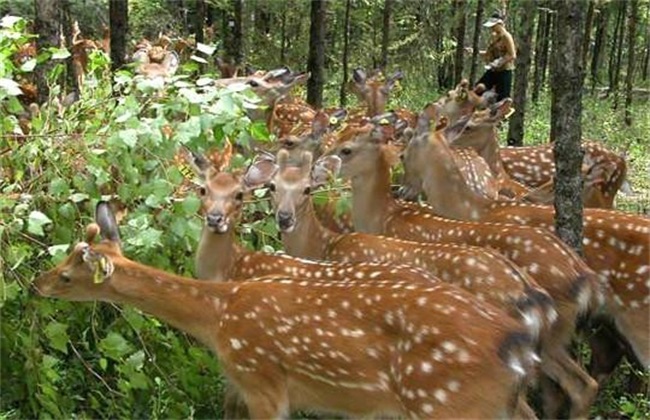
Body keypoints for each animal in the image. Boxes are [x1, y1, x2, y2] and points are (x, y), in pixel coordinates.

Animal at [33, 202, 536, 418]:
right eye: (63, 261)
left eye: (67, 276)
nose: (39, 283)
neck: (219, 316)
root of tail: (516, 339)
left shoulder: (262, 379)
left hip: (444, 401)